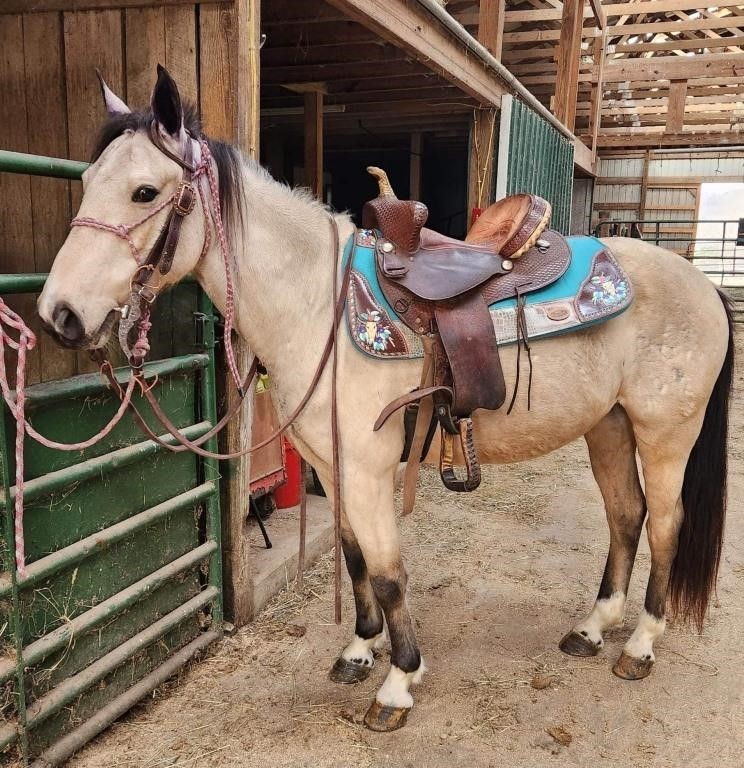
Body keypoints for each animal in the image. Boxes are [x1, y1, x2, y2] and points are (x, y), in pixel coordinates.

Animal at [36, 67, 732, 732]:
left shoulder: (370, 468)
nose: (59, 314)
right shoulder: (330, 463)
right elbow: (354, 558)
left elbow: (390, 571)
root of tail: (701, 283)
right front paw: (358, 650)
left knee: (665, 523)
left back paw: (639, 645)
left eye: (144, 192)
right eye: (88, 181)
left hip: (665, 434)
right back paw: (592, 628)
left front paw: (399, 682)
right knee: (625, 515)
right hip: (608, 425)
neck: (318, 302)